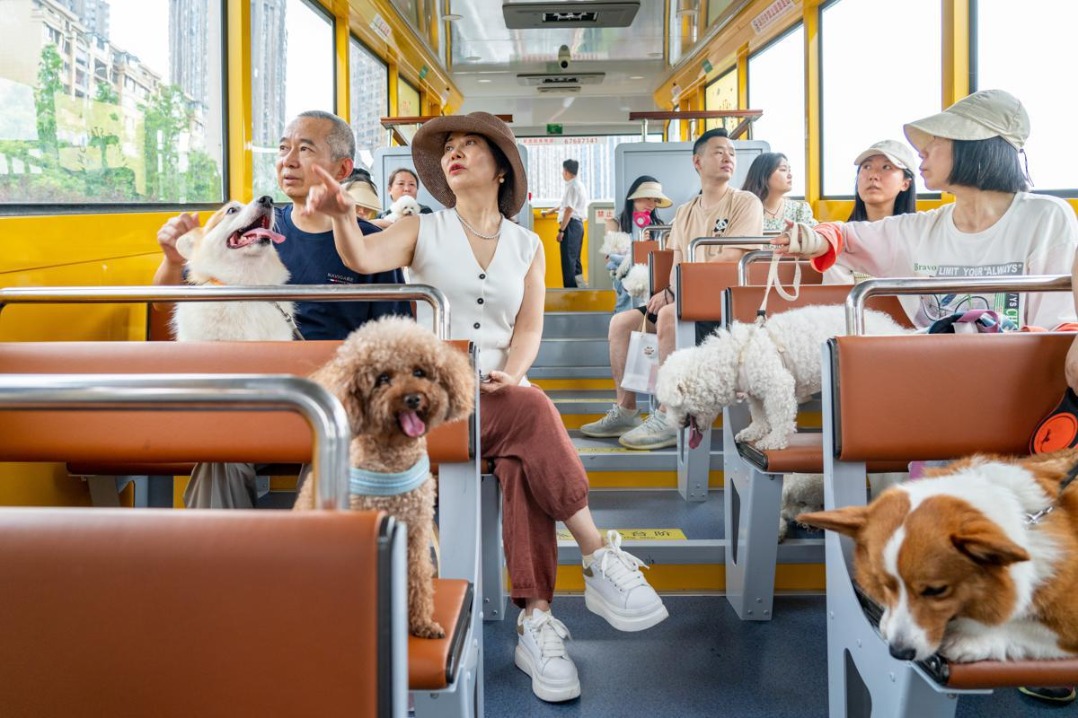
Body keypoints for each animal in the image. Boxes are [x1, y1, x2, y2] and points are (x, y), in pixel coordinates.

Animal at [655, 304, 909, 450]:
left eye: (672, 406)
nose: (675, 424)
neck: (734, 357)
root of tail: (896, 330)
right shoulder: (756, 393)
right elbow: (759, 415)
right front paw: (754, 432)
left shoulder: (778, 385)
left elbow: (779, 418)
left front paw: (774, 440)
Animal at [802, 450, 1078, 664]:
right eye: (884, 584)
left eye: (937, 590)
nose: (899, 653)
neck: (1026, 519)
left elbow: (1025, 629)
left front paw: (969, 641)